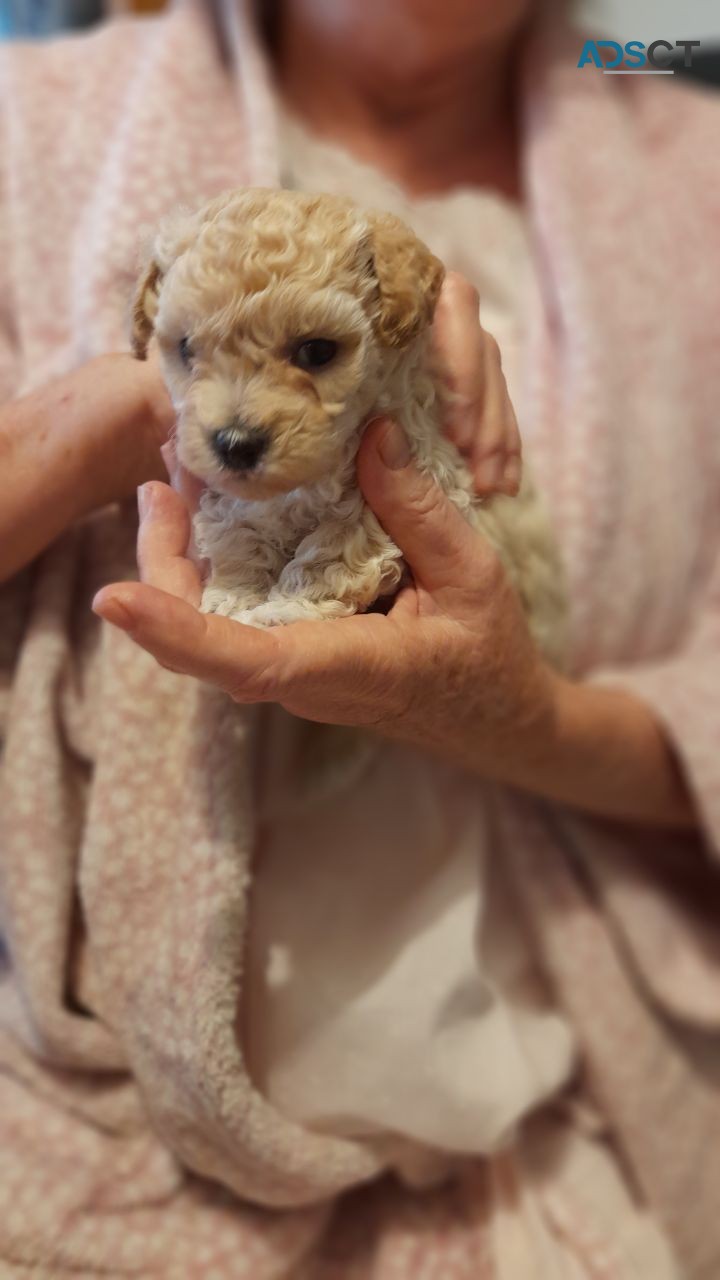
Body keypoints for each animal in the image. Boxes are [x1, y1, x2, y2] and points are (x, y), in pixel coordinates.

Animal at [131, 186, 563, 665]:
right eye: (186, 349)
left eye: (317, 351)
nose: (236, 444)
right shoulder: (238, 495)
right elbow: (237, 530)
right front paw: (234, 593)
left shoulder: (419, 469)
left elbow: (334, 550)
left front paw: (285, 608)